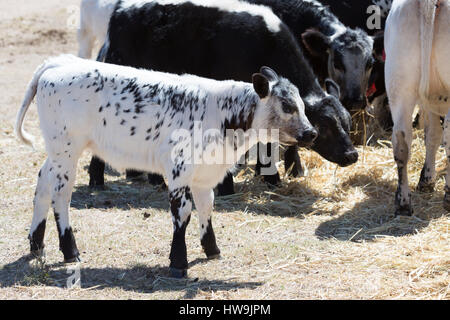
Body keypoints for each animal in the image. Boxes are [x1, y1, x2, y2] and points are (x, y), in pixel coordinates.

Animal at [14, 54, 316, 278]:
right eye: (287, 105)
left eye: (302, 104)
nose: (311, 133)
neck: (220, 112)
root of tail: (59, 63)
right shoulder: (179, 170)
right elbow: (182, 213)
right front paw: (178, 262)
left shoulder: (204, 174)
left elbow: (206, 207)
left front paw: (212, 249)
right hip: (67, 151)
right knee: (60, 195)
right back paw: (69, 250)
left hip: (57, 152)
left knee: (42, 184)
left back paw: (36, 243)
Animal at [87, 0, 356, 195]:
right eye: (325, 126)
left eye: (347, 123)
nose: (352, 154)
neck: (263, 43)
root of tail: (121, 11)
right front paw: (228, 185)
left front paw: (271, 178)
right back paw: (98, 180)